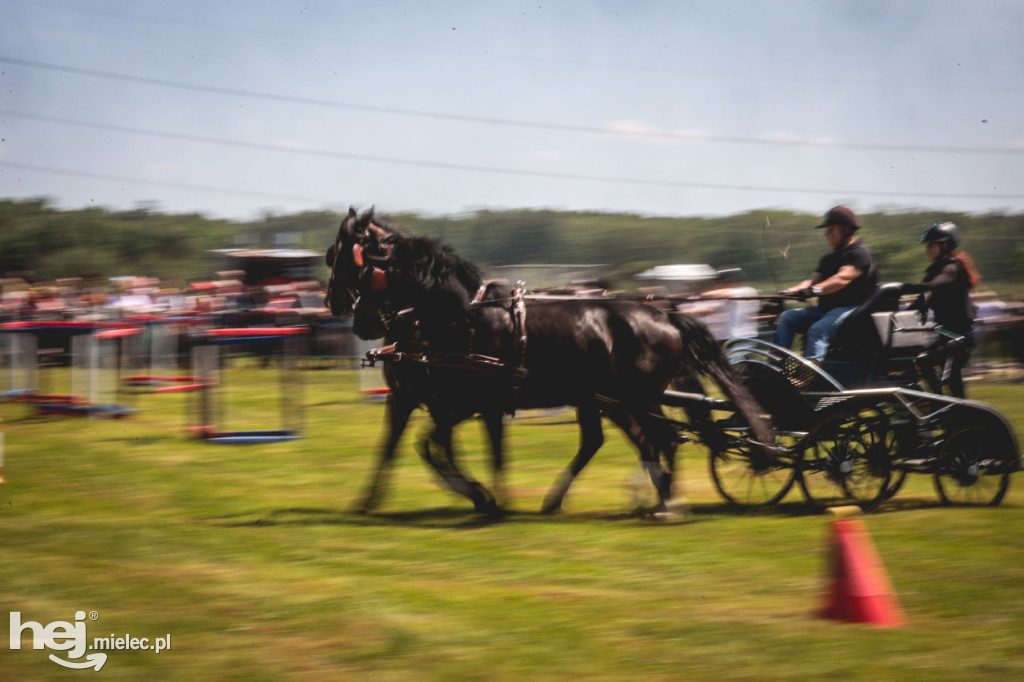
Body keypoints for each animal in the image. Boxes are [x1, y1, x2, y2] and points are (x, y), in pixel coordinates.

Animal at [323, 206, 770, 509]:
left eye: (340, 256)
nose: (336, 305)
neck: (459, 315)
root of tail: (664, 315)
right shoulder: (435, 402)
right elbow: (421, 447)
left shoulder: (471, 402)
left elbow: (464, 450)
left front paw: (489, 498)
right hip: (605, 399)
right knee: (622, 441)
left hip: (635, 398)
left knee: (661, 438)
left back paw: (664, 502)